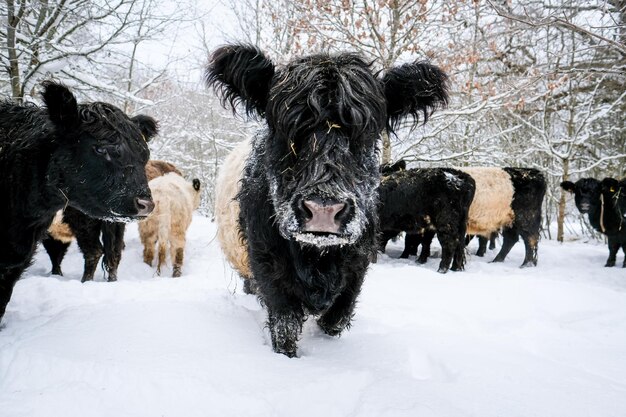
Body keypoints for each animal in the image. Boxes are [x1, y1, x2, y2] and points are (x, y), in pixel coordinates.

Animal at [207, 44, 446, 356]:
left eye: (366, 134)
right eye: (288, 133)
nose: (323, 209)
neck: (317, 259)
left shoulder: (357, 264)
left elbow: (337, 317)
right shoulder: (266, 261)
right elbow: (285, 325)